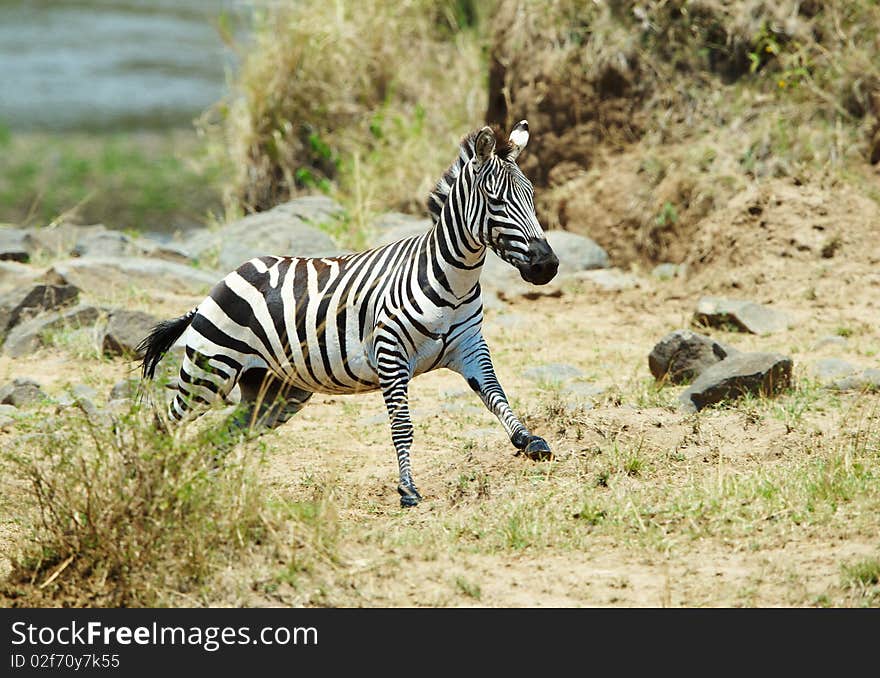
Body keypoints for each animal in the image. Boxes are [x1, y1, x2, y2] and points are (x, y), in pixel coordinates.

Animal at [140, 119, 560, 508]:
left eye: (531, 196)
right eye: (496, 202)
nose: (547, 265)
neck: (453, 278)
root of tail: (220, 284)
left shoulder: (471, 347)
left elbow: (496, 395)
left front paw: (529, 440)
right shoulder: (390, 354)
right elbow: (402, 427)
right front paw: (408, 489)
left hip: (275, 394)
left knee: (216, 438)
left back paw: (197, 489)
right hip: (209, 371)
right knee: (166, 424)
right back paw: (155, 480)